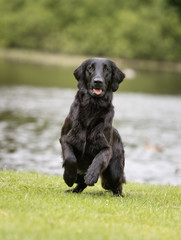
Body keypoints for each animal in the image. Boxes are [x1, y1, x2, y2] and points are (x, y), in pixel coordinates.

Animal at [60, 58, 125, 197]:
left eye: (107, 69)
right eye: (90, 68)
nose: (98, 81)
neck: (92, 106)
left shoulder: (107, 147)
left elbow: (99, 158)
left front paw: (91, 175)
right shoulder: (64, 138)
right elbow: (70, 157)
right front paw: (69, 176)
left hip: (115, 171)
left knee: (118, 185)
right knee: (81, 183)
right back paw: (73, 189)